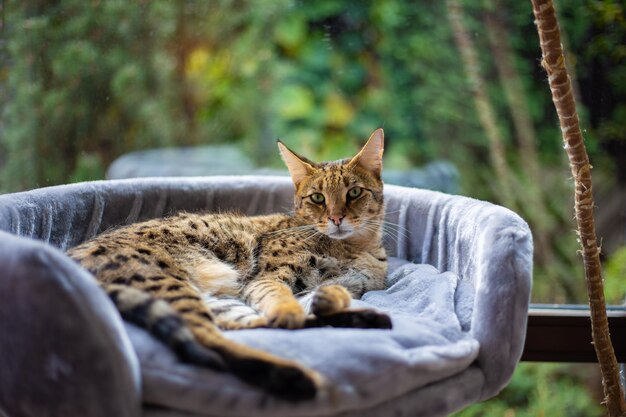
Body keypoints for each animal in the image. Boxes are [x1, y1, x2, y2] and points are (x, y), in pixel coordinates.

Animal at [69, 129, 390, 400]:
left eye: (354, 193)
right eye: (318, 198)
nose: (336, 218)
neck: (351, 248)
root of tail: (69, 258)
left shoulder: (344, 284)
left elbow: (325, 295)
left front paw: (330, 300)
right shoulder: (266, 278)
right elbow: (282, 301)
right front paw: (292, 311)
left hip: (216, 298)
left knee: (245, 326)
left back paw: (367, 320)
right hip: (170, 282)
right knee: (207, 338)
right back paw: (293, 376)